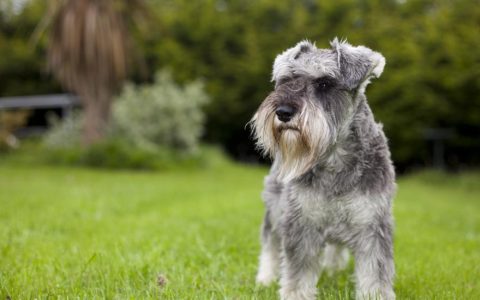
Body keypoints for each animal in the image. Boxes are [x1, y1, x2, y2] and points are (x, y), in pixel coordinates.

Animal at [249, 38, 396, 298]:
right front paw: (294, 294)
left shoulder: (372, 224)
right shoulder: (301, 222)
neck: (334, 159)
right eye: (286, 80)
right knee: (270, 244)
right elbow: (298, 273)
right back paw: (265, 279)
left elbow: (375, 274)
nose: (283, 112)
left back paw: (334, 270)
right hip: (275, 210)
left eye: (325, 83)